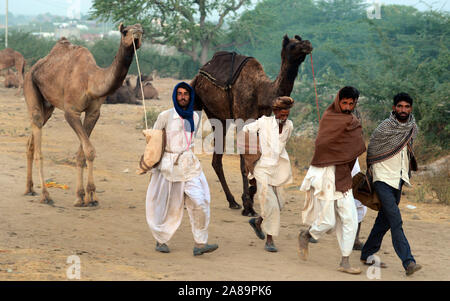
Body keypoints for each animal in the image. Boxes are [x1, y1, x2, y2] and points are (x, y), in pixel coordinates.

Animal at [23, 24, 142, 206]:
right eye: (124, 32)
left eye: (142, 30)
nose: (137, 33)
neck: (91, 81)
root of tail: (32, 69)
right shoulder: (71, 111)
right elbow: (89, 150)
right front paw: (91, 196)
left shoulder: (93, 112)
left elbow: (83, 153)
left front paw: (81, 196)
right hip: (30, 86)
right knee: (38, 142)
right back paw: (45, 195)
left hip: (48, 106)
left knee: (32, 141)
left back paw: (29, 189)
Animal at [191, 34, 312, 216]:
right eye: (292, 45)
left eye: (301, 40)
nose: (308, 44)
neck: (262, 92)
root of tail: (199, 75)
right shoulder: (242, 120)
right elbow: (244, 164)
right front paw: (248, 205)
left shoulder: (261, 120)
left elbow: (256, 159)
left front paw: (251, 195)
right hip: (212, 112)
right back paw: (232, 201)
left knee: (216, 159)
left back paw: (232, 201)